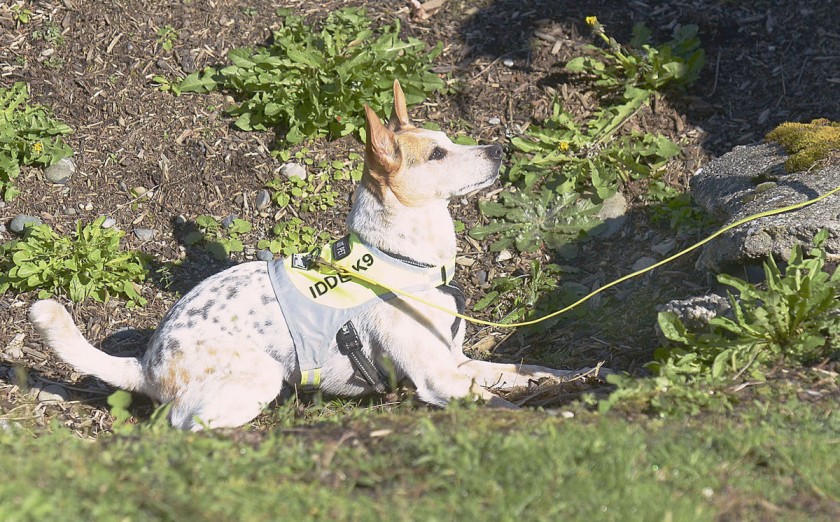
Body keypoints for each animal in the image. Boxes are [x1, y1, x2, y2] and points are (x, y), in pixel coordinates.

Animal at [29, 78, 580, 426]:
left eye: (448, 138)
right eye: (439, 154)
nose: (500, 148)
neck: (408, 262)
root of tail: (146, 364)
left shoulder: (459, 364)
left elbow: (523, 372)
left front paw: (570, 378)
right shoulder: (440, 379)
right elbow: (500, 406)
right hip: (259, 376)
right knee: (183, 428)